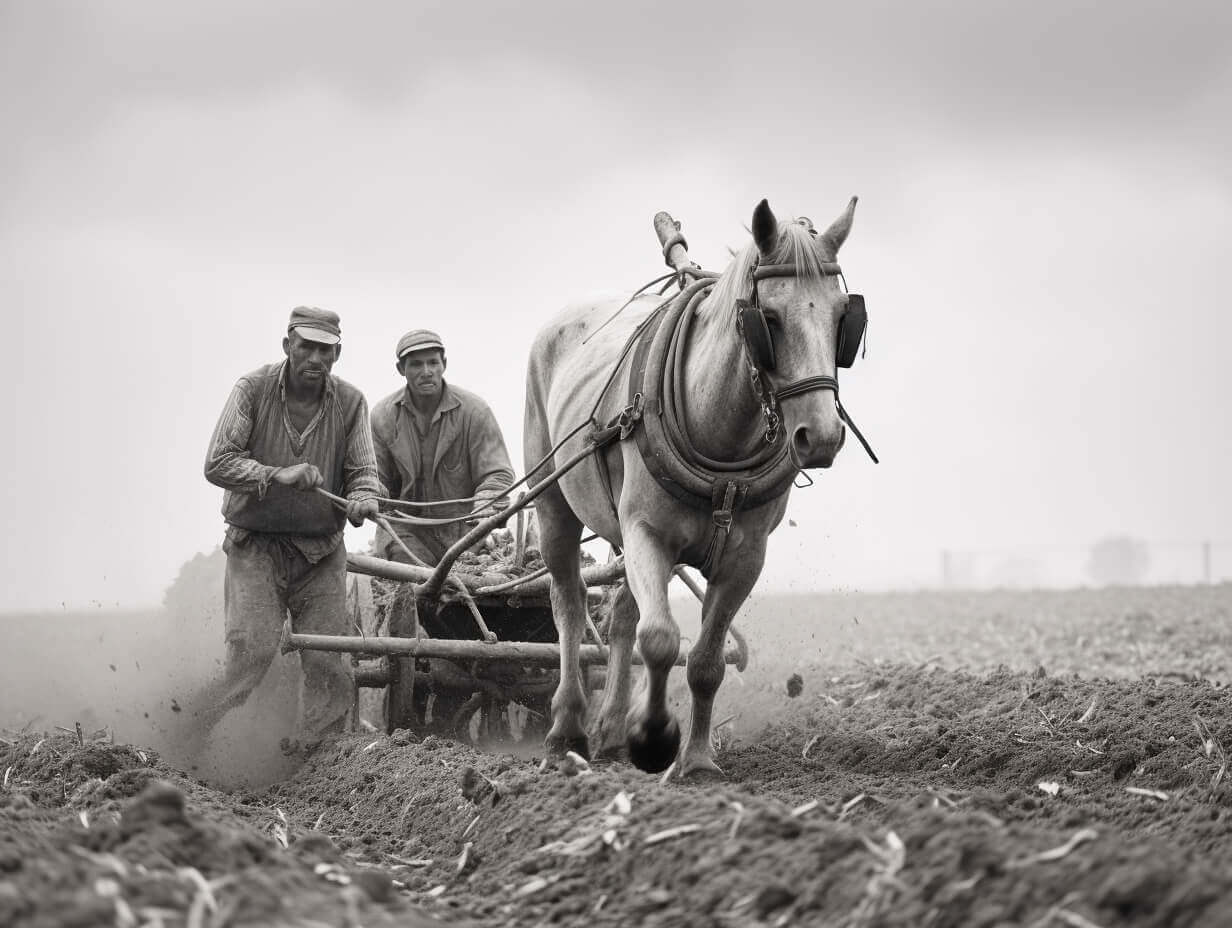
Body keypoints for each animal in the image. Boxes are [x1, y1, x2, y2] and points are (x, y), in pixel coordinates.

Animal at [524, 195, 862, 773]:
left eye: (844, 316)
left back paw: (610, 729)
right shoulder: (647, 534)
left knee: (620, 616)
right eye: (769, 320)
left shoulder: (745, 556)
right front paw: (655, 740)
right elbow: (660, 640)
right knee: (569, 605)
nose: (820, 437)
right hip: (554, 506)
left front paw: (698, 759)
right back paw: (566, 731)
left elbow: (704, 659)